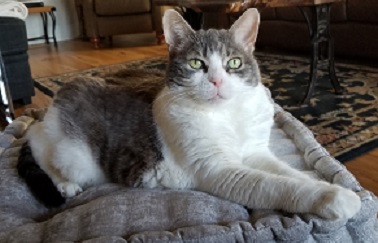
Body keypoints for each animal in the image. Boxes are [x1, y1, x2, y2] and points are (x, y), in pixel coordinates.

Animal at [17, 8, 360, 219]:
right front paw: (335, 199)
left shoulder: (256, 152)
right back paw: (63, 183)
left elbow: (289, 173)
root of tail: (56, 100)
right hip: (74, 156)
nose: (217, 81)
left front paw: (332, 186)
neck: (228, 116)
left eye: (234, 62)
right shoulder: (219, 171)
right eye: (197, 63)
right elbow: (278, 186)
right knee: (36, 142)